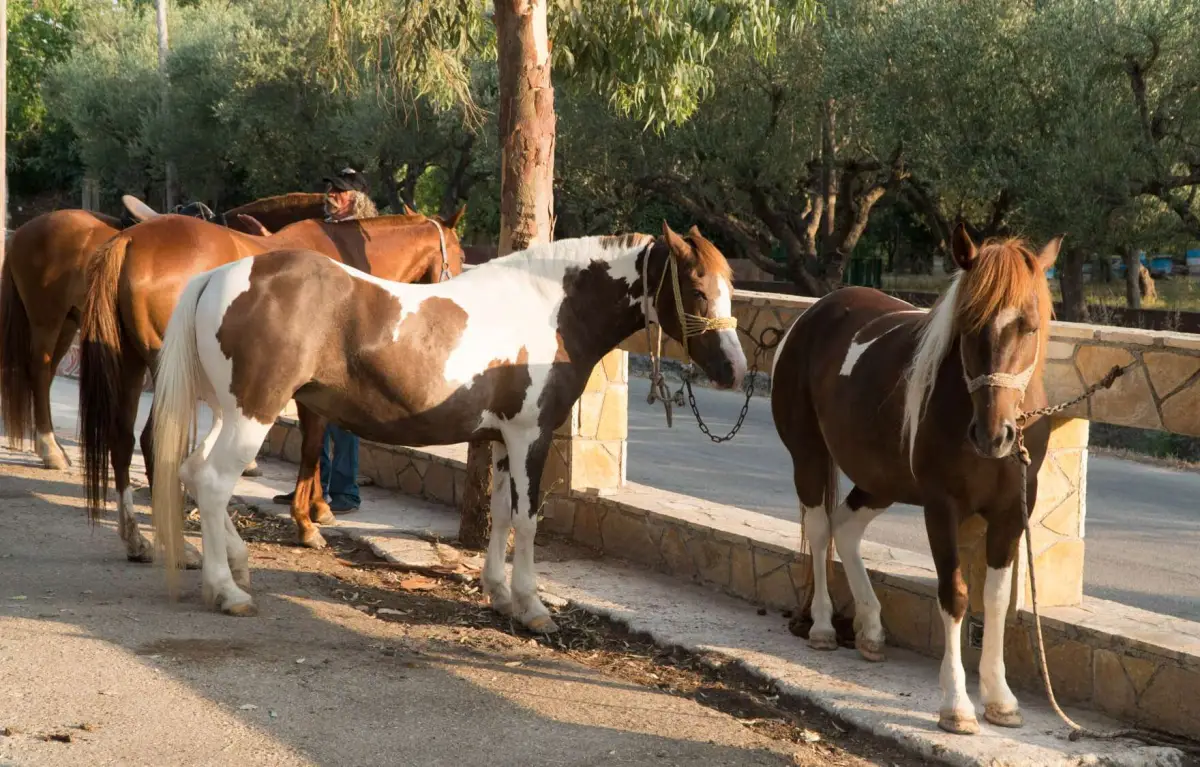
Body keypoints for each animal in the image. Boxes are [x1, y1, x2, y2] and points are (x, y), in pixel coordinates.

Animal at [77, 208, 467, 565]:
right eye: (462, 254)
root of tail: (131, 239)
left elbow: (315, 446)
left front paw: (317, 507)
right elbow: (312, 446)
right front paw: (306, 523)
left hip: (129, 364)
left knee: (121, 440)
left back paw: (136, 540)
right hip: (168, 372)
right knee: (153, 442)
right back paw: (180, 546)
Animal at [147, 223, 746, 624]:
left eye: (728, 285)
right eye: (697, 288)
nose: (736, 371)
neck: (552, 306)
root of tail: (217, 277)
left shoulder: (503, 439)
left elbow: (502, 515)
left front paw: (499, 593)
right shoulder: (531, 437)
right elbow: (528, 520)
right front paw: (532, 606)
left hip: (226, 412)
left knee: (192, 473)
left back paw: (238, 565)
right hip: (252, 415)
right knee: (213, 483)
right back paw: (228, 591)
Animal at [769, 224, 1060, 736]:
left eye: (1029, 325)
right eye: (968, 325)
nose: (994, 435)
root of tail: (815, 312)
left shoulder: (1011, 511)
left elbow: (995, 599)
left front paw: (1000, 699)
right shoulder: (941, 507)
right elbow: (955, 595)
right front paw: (957, 705)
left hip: (881, 480)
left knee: (846, 529)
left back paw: (869, 629)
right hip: (809, 457)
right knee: (821, 529)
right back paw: (823, 627)